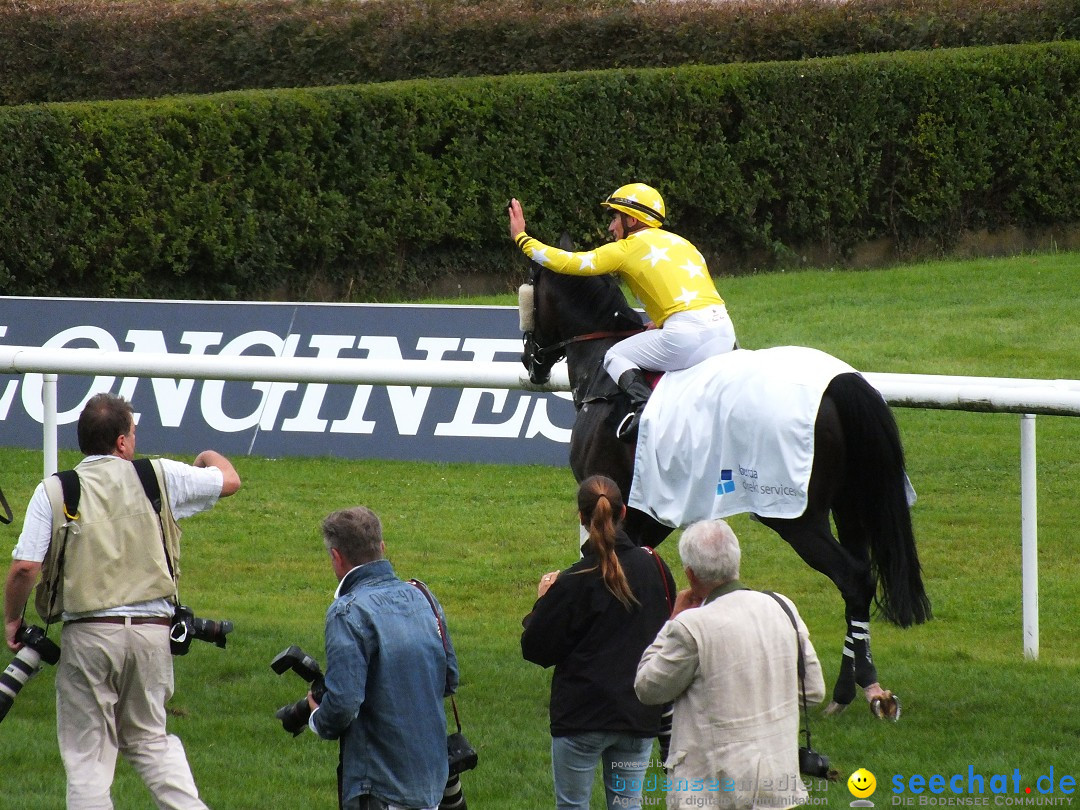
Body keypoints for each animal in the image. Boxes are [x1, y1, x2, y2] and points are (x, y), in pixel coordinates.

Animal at [518, 266, 933, 717]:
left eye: (526, 292)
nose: (529, 362)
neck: (604, 377)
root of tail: (841, 382)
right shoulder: (650, 510)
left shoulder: (617, 499)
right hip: (848, 504)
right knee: (861, 573)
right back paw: (857, 687)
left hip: (795, 516)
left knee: (854, 577)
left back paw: (853, 690)